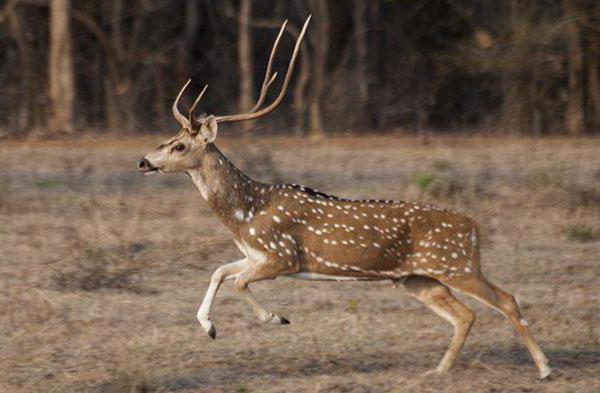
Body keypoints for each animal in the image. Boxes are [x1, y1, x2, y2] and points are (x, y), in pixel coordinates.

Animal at [138, 16, 552, 378]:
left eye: (179, 146)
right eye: (168, 139)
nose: (143, 161)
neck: (245, 214)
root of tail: (474, 227)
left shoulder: (282, 255)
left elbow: (237, 281)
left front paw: (277, 318)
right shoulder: (255, 255)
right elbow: (220, 271)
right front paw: (209, 327)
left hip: (458, 265)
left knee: (506, 299)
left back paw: (545, 368)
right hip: (419, 278)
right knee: (466, 314)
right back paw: (438, 370)